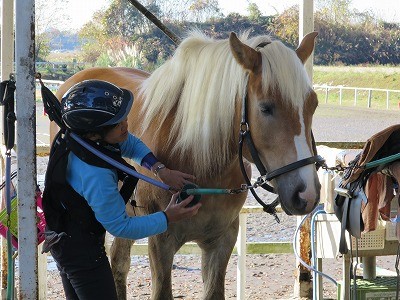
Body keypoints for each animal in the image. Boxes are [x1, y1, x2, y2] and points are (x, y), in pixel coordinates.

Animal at [54, 30, 322, 300]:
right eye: (266, 108)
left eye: (313, 105)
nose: (306, 193)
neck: (200, 161)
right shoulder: (161, 242)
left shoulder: (222, 240)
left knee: (119, 262)